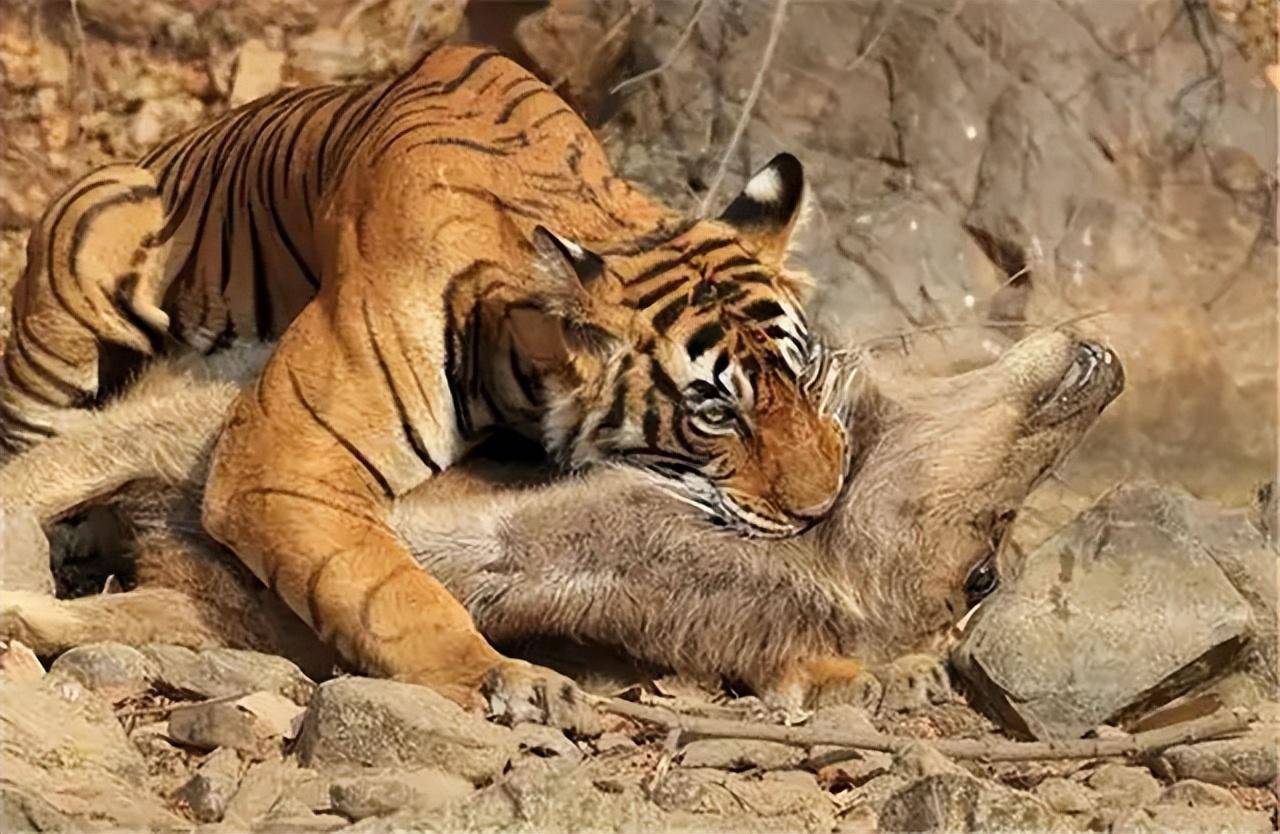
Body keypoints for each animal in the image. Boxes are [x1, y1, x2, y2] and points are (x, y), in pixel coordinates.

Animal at [0, 46, 849, 712]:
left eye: (806, 377)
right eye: (716, 414)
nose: (823, 507)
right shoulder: (282, 461)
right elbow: (385, 588)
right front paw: (501, 677)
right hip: (86, 259)